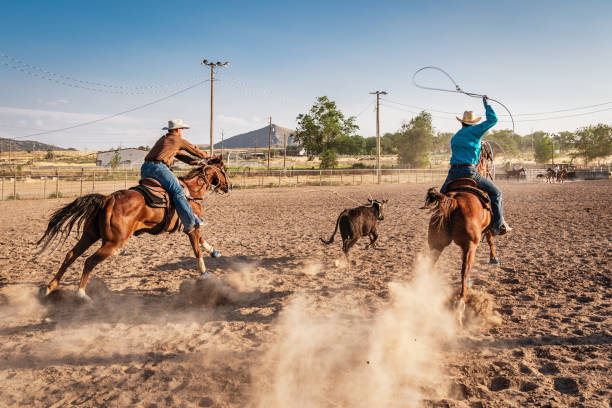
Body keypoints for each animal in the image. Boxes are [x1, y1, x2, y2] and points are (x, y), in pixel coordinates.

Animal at [38, 156, 231, 300]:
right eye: (225, 170)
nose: (229, 186)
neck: (191, 191)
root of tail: (107, 199)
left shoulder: (193, 224)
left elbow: (201, 241)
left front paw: (214, 251)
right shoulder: (191, 225)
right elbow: (196, 248)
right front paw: (204, 274)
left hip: (90, 235)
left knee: (71, 255)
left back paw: (50, 287)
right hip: (113, 242)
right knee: (89, 261)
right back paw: (81, 294)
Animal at [424, 143, 500, 312]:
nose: (491, 172)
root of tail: (453, 201)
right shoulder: (486, 229)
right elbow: (491, 239)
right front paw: (493, 258)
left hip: (436, 243)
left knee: (432, 266)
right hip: (470, 245)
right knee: (465, 269)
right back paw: (461, 301)